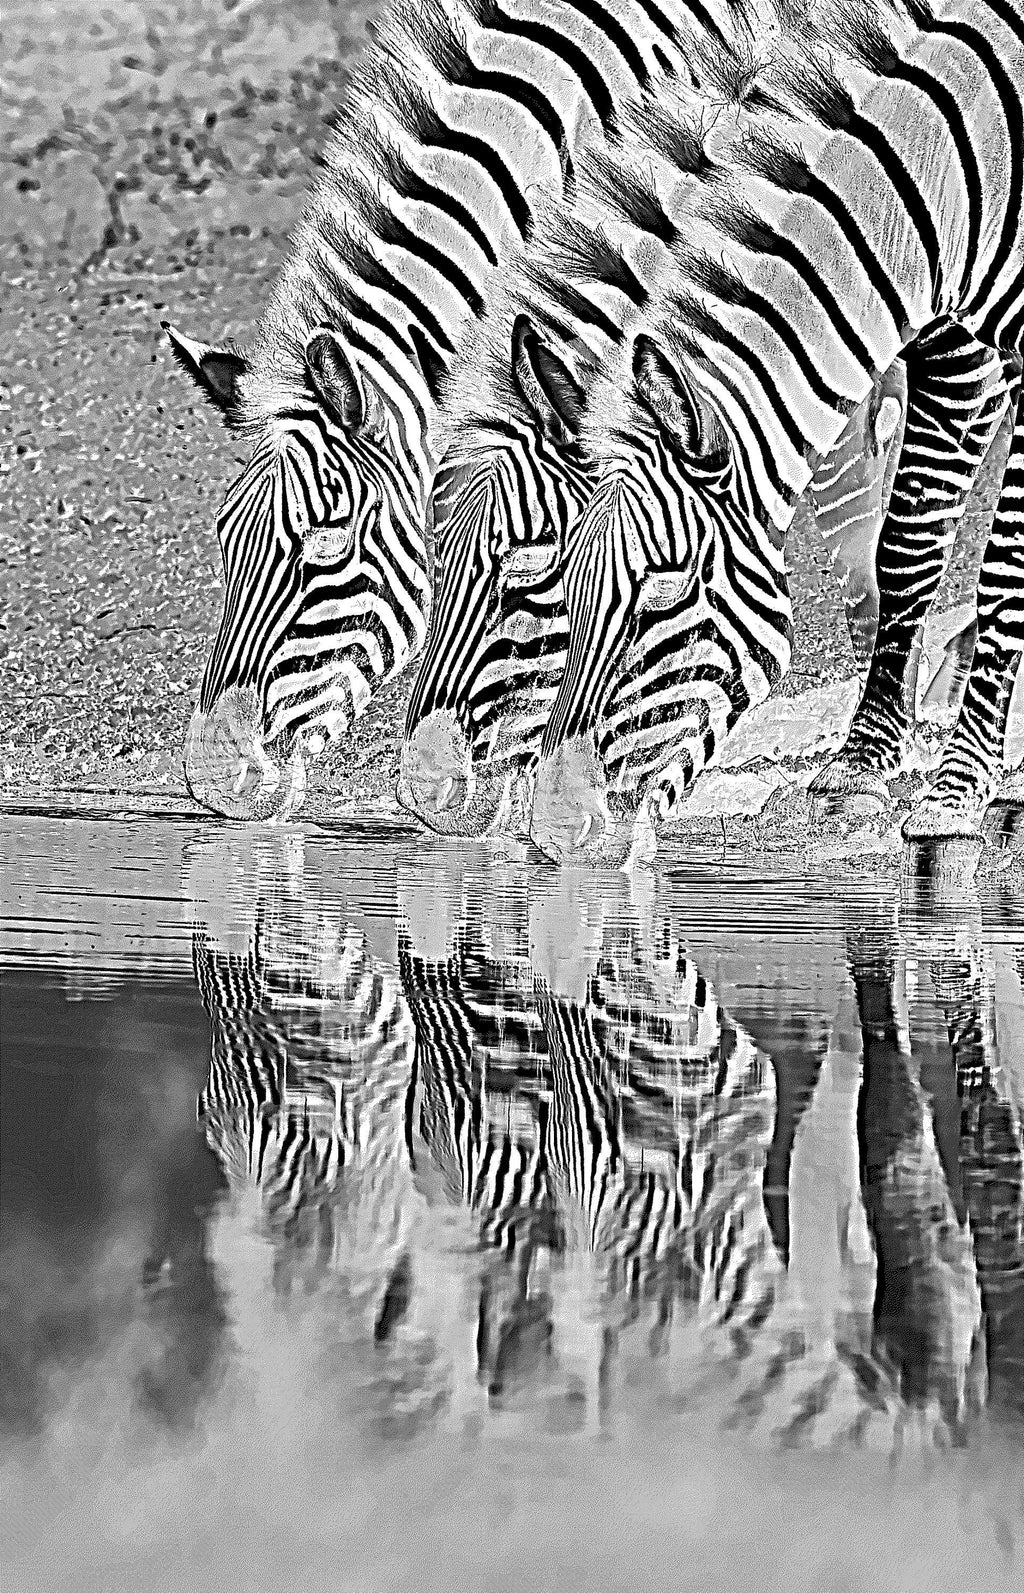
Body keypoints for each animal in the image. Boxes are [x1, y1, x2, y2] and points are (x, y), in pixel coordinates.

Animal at [399, 22, 1014, 844]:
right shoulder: (954, 332)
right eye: (570, 578)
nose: (420, 789)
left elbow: (995, 566)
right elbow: (907, 546)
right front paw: (869, 766)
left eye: (528, 576)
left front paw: (957, 784)